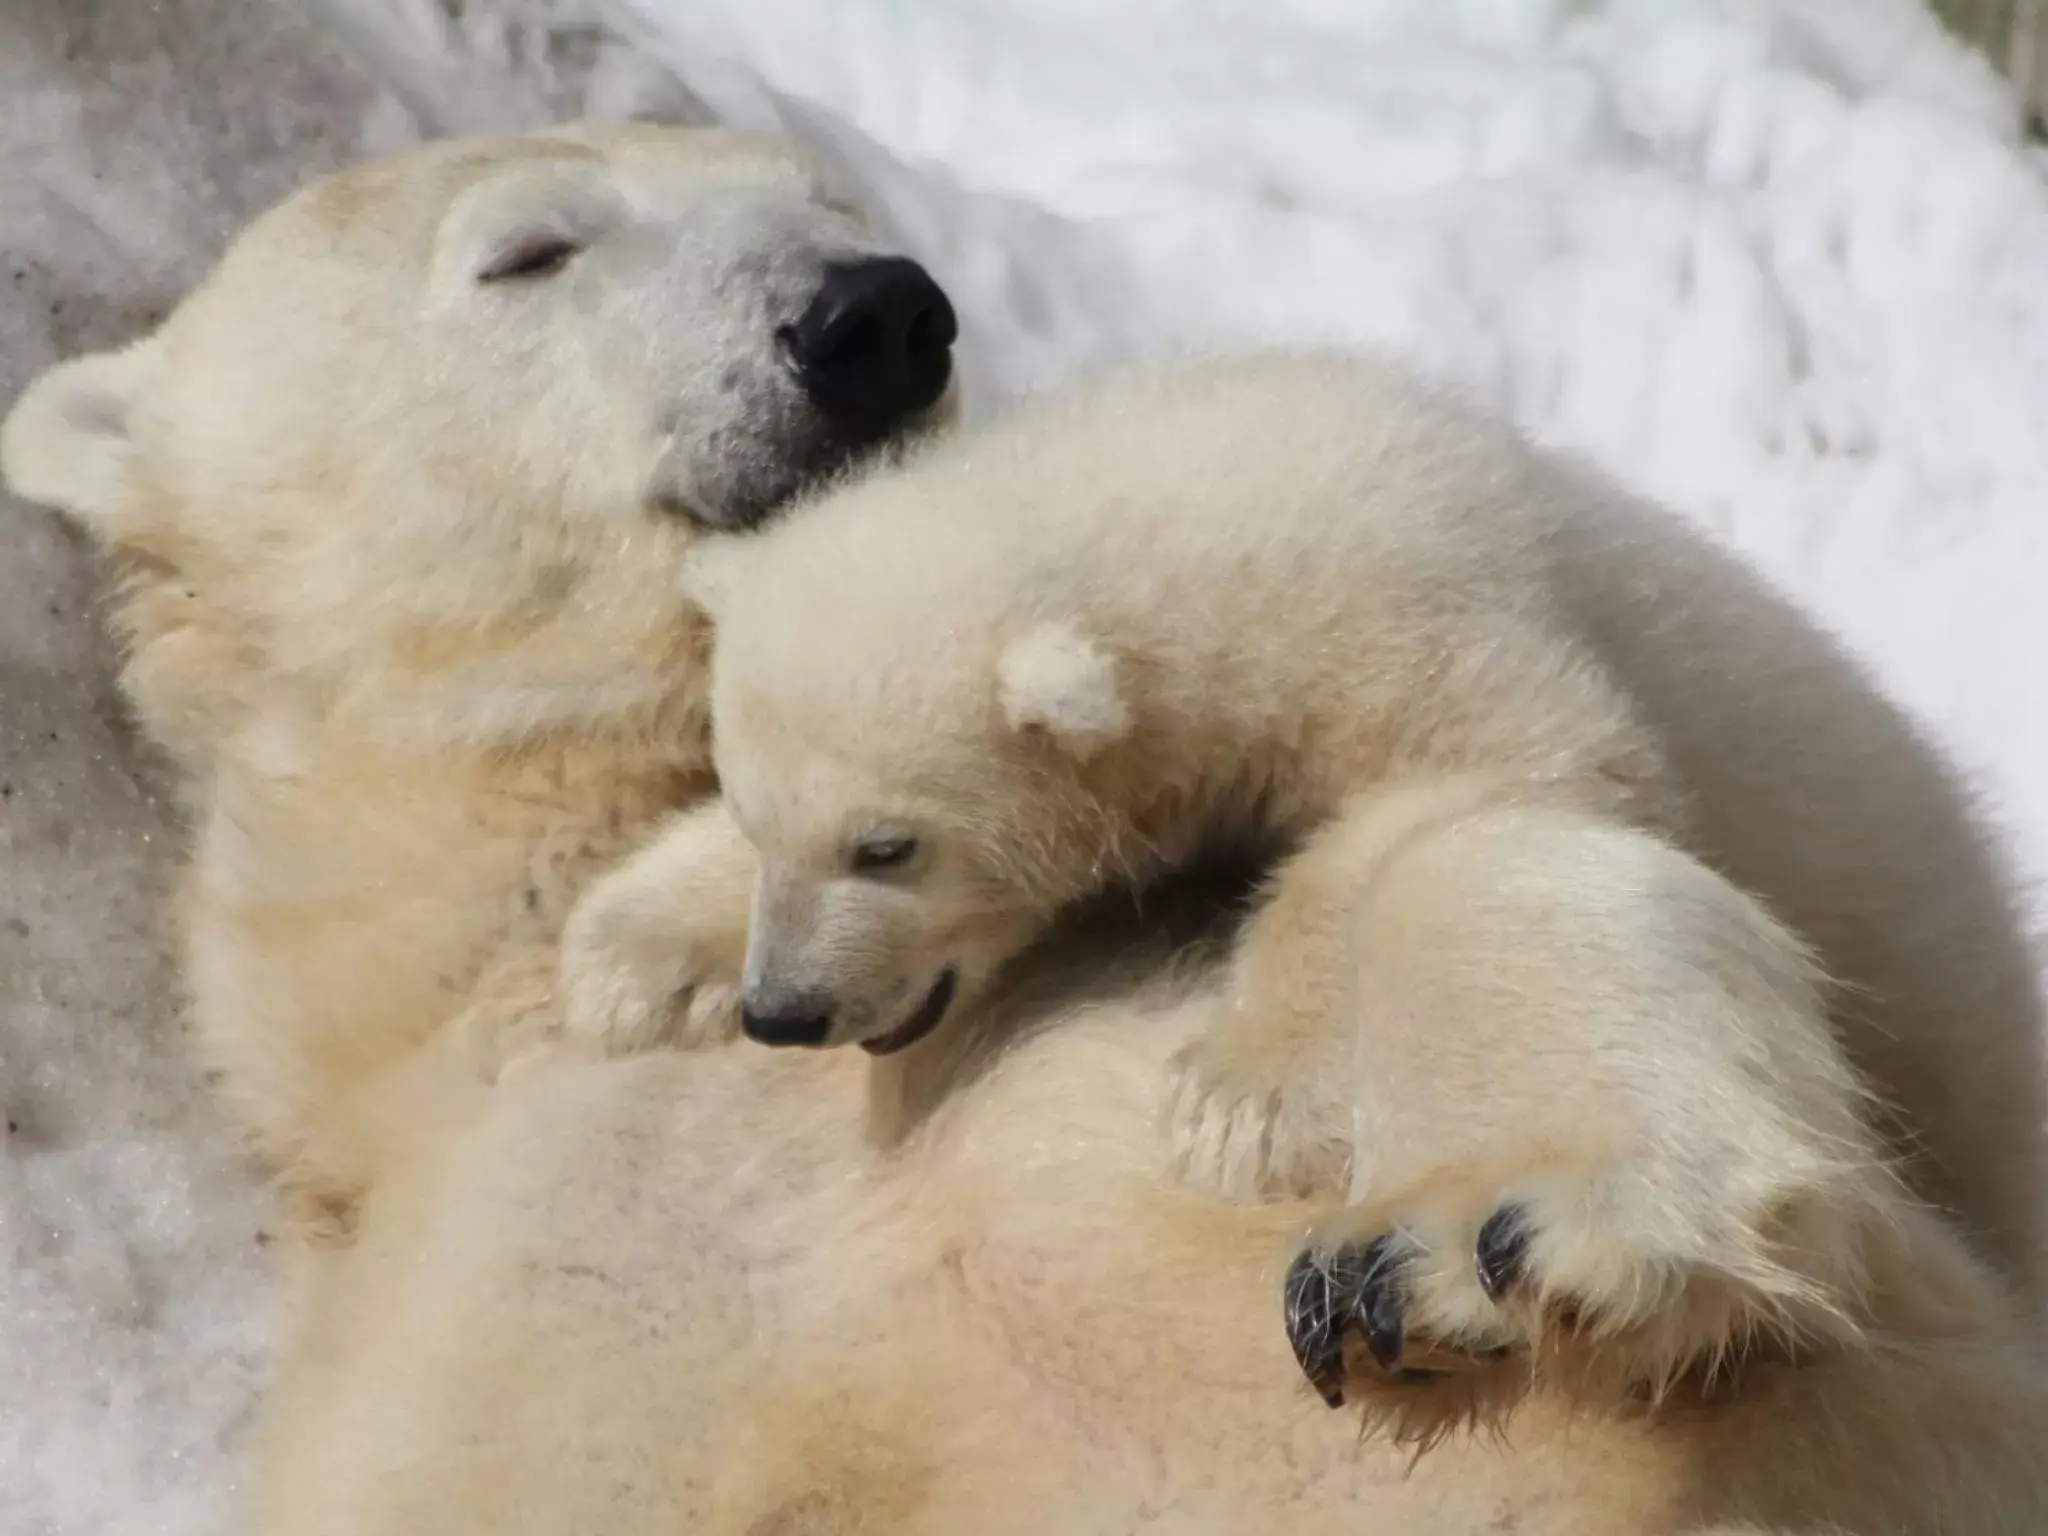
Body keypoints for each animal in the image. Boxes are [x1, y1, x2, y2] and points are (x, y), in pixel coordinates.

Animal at [4, 126, 2048, 1531]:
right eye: (527, 248)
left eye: (812, 188)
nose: (875, 314)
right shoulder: (488, 1308)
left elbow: (1488, 844)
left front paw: (1438, 1208)